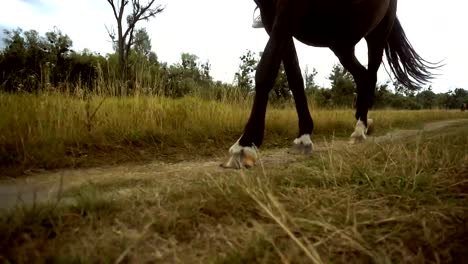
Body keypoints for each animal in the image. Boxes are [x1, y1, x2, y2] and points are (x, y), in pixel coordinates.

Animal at [222, 0, 438, 169]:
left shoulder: (288, 9)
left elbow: (267, 69)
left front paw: (245, 146)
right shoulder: (271, 14)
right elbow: (294, 76)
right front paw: (304, 137)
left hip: (377, 33)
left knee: (371, 75)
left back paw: (360, 130)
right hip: (340, 42)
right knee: (362, 76)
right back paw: (362, 124)